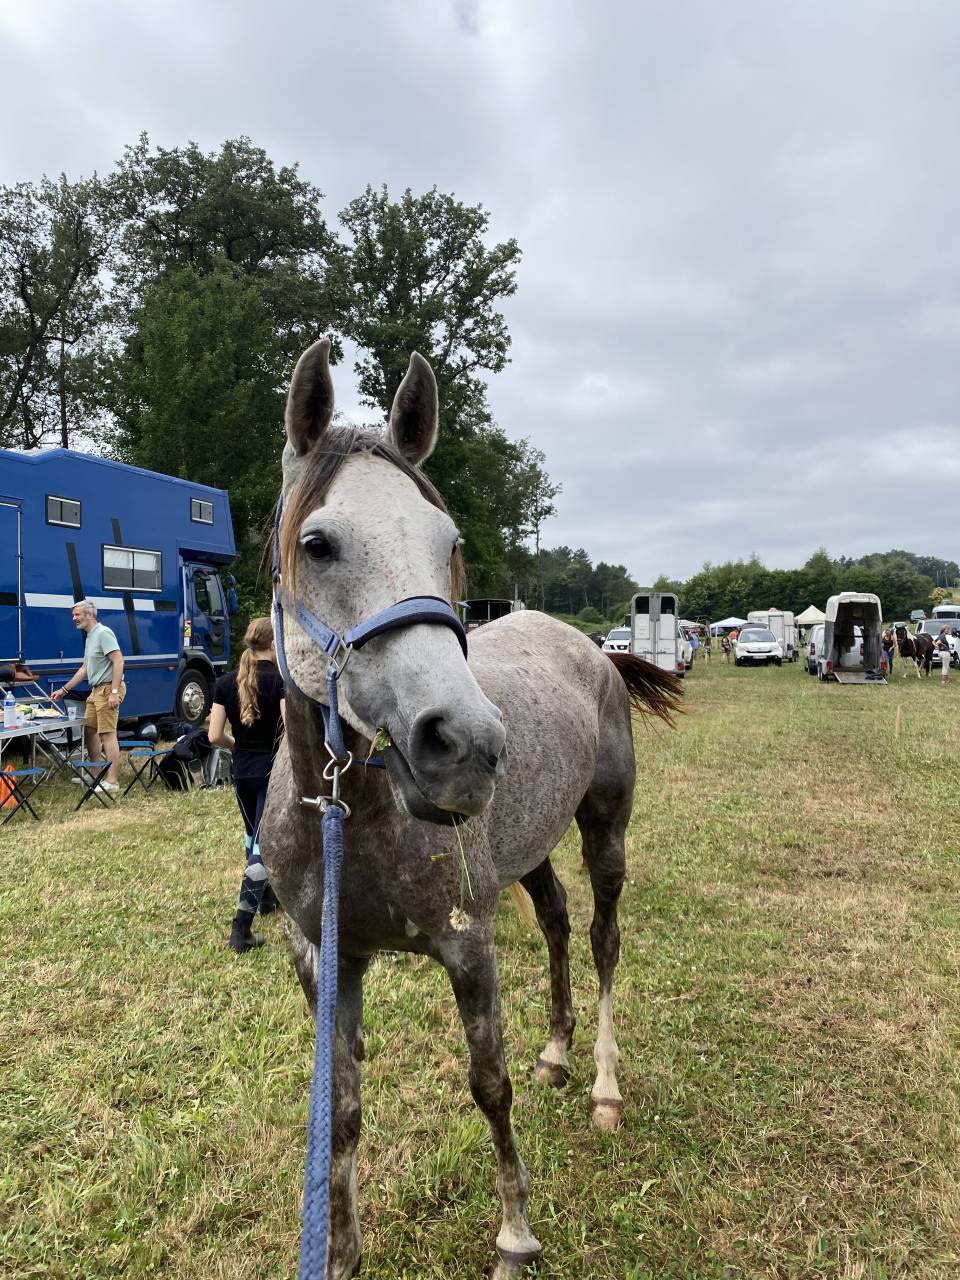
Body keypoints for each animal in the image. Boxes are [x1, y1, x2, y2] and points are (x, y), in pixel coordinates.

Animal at [260, 339, 682, 1279]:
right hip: (532, 854)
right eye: (317, 543)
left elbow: (489, 1085)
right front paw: (340, 1251)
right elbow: (338, 1109)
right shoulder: (324, 959)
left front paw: (515, 1236)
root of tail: (589, 646)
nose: (464, 743)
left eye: (447, 542)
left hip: (605, 831)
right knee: (557, 921)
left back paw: (602, 1084)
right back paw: (560, 1049)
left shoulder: (468, 945)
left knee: (601, 938)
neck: (355, 819)